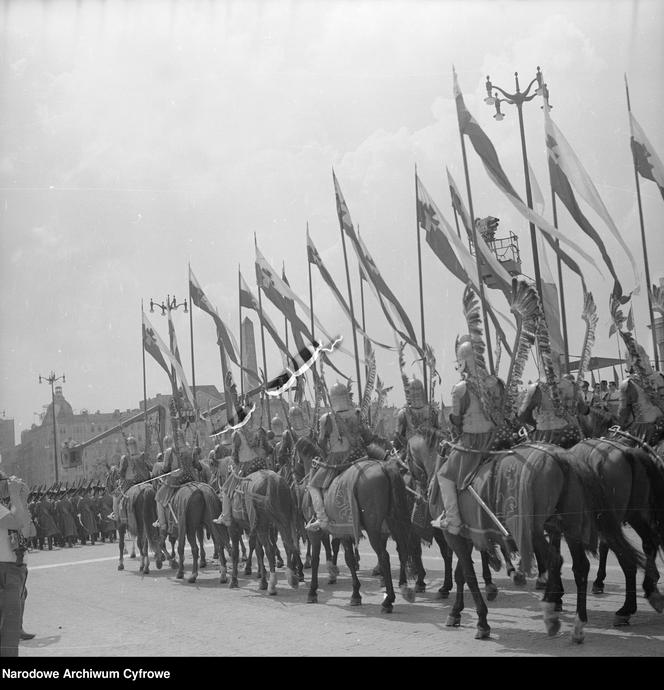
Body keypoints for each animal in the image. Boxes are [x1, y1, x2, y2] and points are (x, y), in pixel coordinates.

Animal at [292, 432, 416, 612]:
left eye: (292, 454)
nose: (295, 477)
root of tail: (385, 467)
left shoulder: (315, 533)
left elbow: (316, 559)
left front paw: (312, 591)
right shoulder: (344, 530)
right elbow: (349, 558)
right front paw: (355, 594)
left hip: (373, 529)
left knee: (384, 556)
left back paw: (388, 600)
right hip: (394, 522)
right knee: (402, 550)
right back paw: (404, 588)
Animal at [564, 436, 664, 624]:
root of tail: (628, 452)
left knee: (627, 559)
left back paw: (626, 608)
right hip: (634, 514)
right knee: (649, 543)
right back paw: (650, 589)